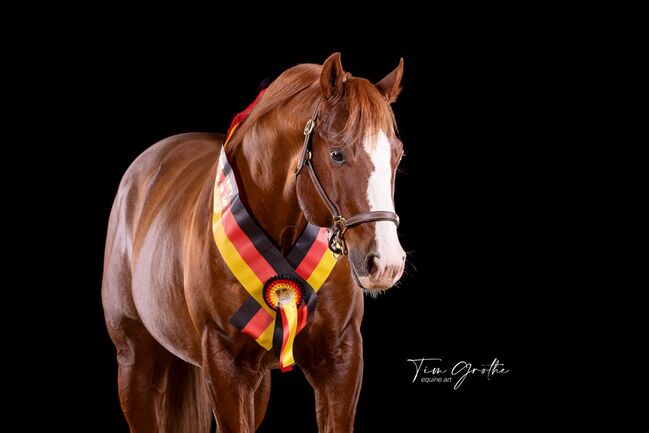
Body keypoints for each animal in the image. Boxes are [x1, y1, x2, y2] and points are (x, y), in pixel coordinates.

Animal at [101, 54, 404, 432]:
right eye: (337, 154)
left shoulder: (340, 359)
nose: (386, 263)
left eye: (398, 154)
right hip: (136, 362)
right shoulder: (225, 363)